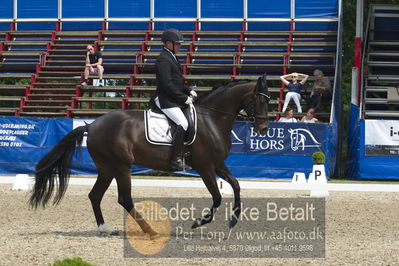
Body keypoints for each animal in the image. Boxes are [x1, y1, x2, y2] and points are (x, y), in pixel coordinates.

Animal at [29, 76, 270, 236]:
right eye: (261, 100)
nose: (264, 128)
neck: (212, 119)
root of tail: (92, 125)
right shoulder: (205, 167)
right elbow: (217, 197)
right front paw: (198, 222)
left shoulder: (218, 164)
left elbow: (236, 185)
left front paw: (234, 220)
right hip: (121, 167)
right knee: (124, 199)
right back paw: (149, 230)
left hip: (107, 168)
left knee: (95, 195)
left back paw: (106, 228)